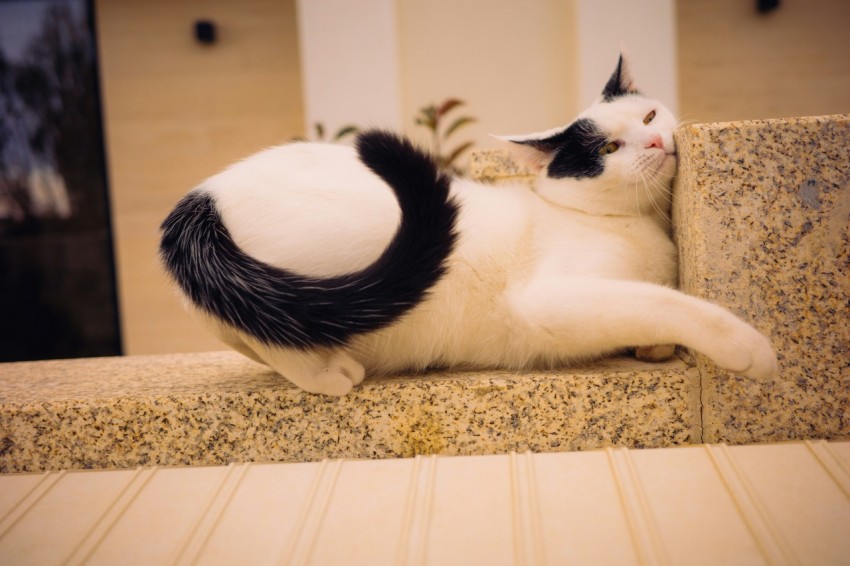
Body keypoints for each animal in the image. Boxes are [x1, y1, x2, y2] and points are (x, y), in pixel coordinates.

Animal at [159, 55, 776, 398]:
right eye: (607, 148)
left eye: (648, 116)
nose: (654, 142)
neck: (637, 223)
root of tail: (202, 197)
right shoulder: (556, 297)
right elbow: (668, 304)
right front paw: (747, 349)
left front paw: (652, 347)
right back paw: (331, 375)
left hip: (237, 310)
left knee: (256, 328)